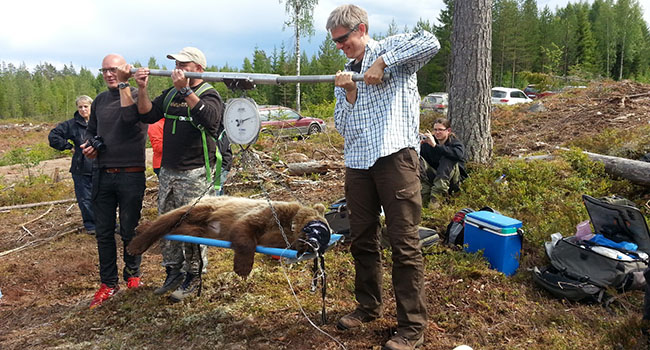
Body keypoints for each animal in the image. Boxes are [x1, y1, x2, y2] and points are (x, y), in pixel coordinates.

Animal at [126, 196, 330, 278]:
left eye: (324, 239)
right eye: (319, 231)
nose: (312, 244)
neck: (290, 226)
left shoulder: (278, 237)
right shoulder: (271, 213)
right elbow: (246, 228)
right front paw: (243, 268)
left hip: (198, 229)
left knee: (181, 228)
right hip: (204, 206)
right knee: (171, 217)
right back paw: (137, 240)